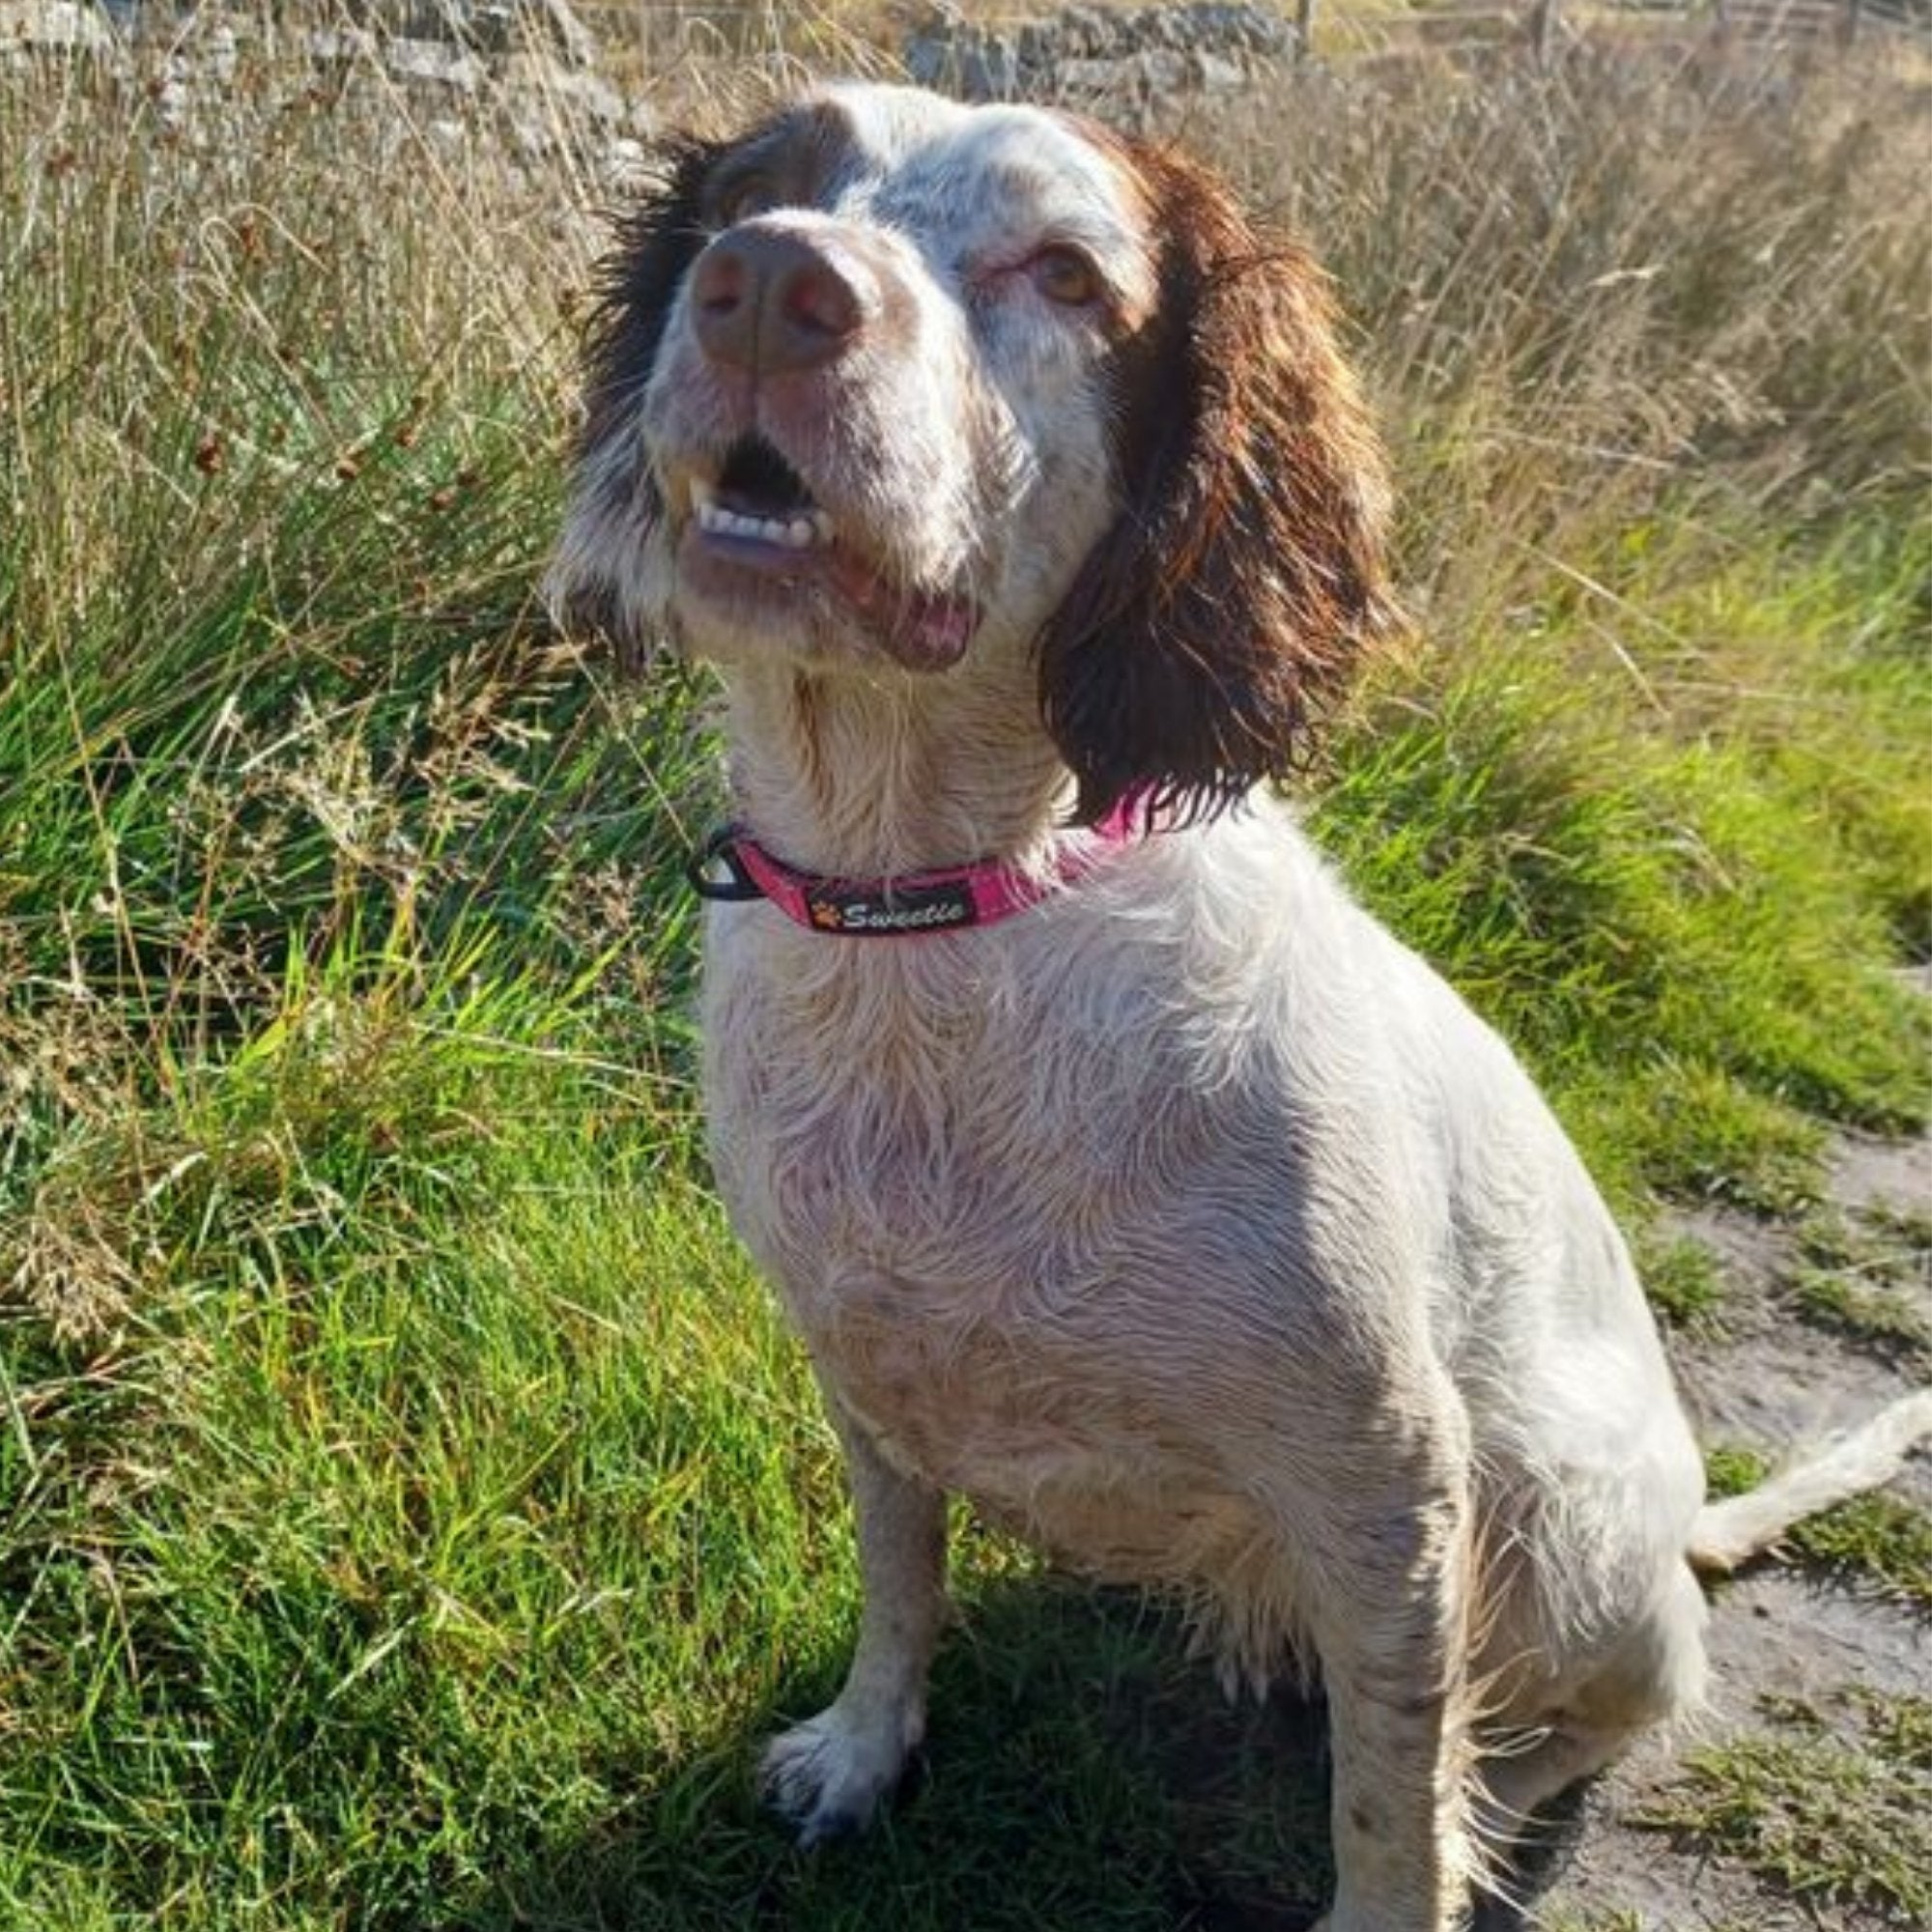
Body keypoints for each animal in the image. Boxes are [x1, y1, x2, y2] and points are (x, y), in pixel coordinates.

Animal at [545, 83, 1932, 1924]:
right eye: (761, 192)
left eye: (1067, 272)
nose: (771, 285)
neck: (947, 911)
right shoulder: (865, 1375)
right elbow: (900, 1583)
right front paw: (861, 1749)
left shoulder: (1391, 1479)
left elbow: (1395, 1802)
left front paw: (1415, 1865)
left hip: (1557, 1518)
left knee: (1601, 1710)